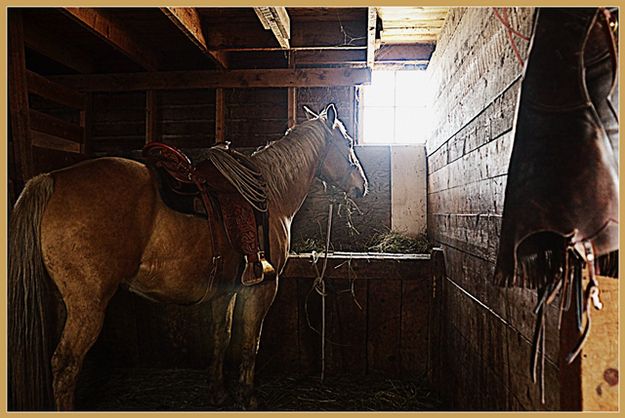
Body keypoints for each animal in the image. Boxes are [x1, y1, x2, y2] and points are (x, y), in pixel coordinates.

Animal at [7, 103, 368, 410]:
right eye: (348, 142)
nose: (361, 185)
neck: (271, 196)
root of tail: (52, 179)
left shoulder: (226, 289)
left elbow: (221, 336)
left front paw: (219, 392)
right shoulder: (263, 286)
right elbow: (250, 341)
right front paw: (247, 397)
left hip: (62, 302)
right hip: (88, 306)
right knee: (65, 365)